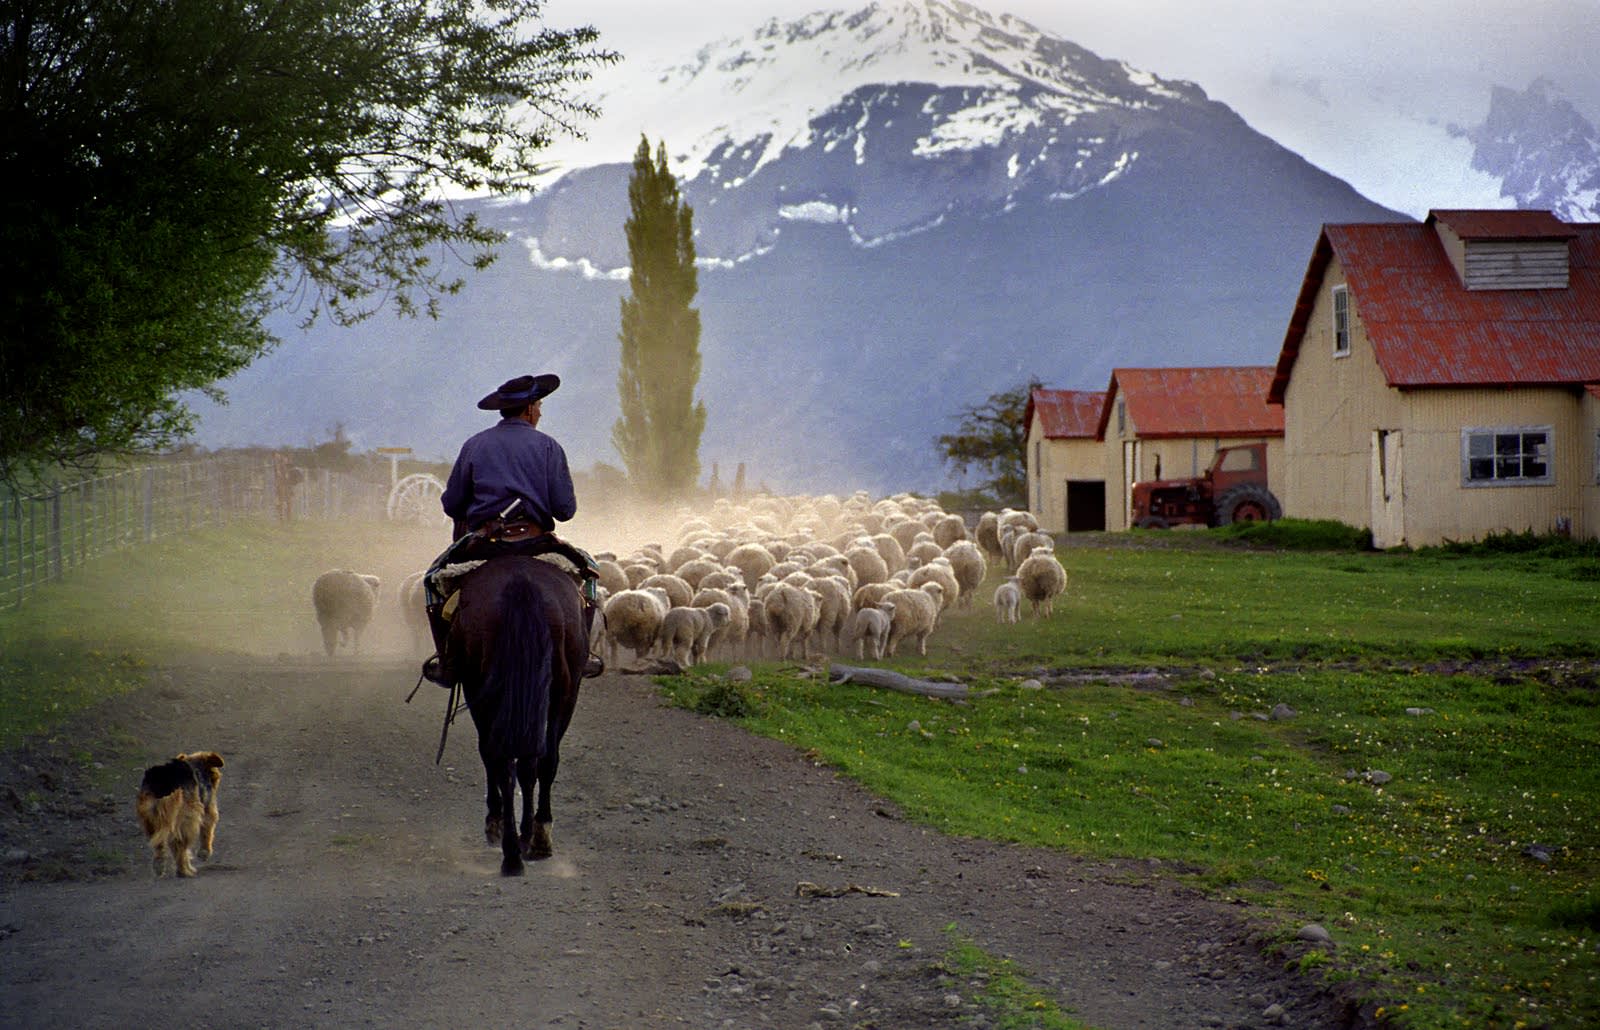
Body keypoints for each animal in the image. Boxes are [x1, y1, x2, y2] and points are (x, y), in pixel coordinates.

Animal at [136, 748, 225, 876]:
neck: (197, 766)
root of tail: (163, 784)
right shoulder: (208, 809)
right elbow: (207, 832)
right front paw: (204, 853)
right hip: (186, 819)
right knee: (179, 846)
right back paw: (185, 870)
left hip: (150, 819)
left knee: (159, 846)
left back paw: (159, 867)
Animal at [448, 559, 585, 870]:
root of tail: (521, 581)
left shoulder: (476, 692)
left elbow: (490, 755)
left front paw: (496, 820)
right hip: (561, 691)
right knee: (539, 761)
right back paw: (533, 839)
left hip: (492, 690)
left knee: (507, 763)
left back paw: (515, 847)